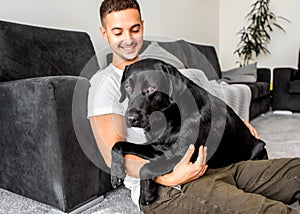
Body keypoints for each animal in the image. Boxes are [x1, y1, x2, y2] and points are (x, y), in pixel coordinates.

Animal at [110, 57, 268, 205]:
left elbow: (146, 167)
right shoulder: (157, 150)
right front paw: (116, 174)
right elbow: (118, 144)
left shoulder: (182, 155)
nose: (130, 119)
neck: (168, 116)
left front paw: (146, 193)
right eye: (128, 86)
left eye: (151, 88)